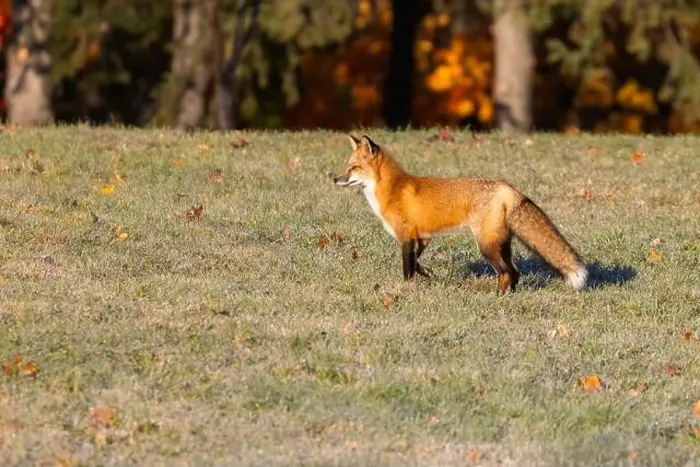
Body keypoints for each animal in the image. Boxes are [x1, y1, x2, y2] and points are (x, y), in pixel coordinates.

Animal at [333, 134, 587, 294]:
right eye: (347, 166)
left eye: (353, 167)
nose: (335, 179)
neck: (392, 189)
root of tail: (506, 187)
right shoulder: (422, 237)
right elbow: (417, 263)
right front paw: (426, 275)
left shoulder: (406, 236)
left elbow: (407, 268)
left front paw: (406, 289)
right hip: (501, 244)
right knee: (514, 273)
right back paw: (509, 296)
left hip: (486, 246)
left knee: (506, 272)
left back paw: (498, 297)